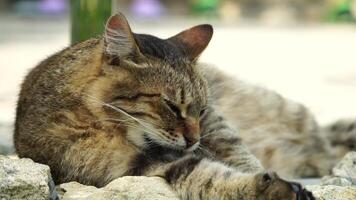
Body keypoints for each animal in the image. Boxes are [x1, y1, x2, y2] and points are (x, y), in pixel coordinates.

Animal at [13, 13, 314, 199]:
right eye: (171, 105)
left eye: (201, 110)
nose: (194, 140)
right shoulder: (127, 166)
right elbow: (208, 178)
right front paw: (271, 188)